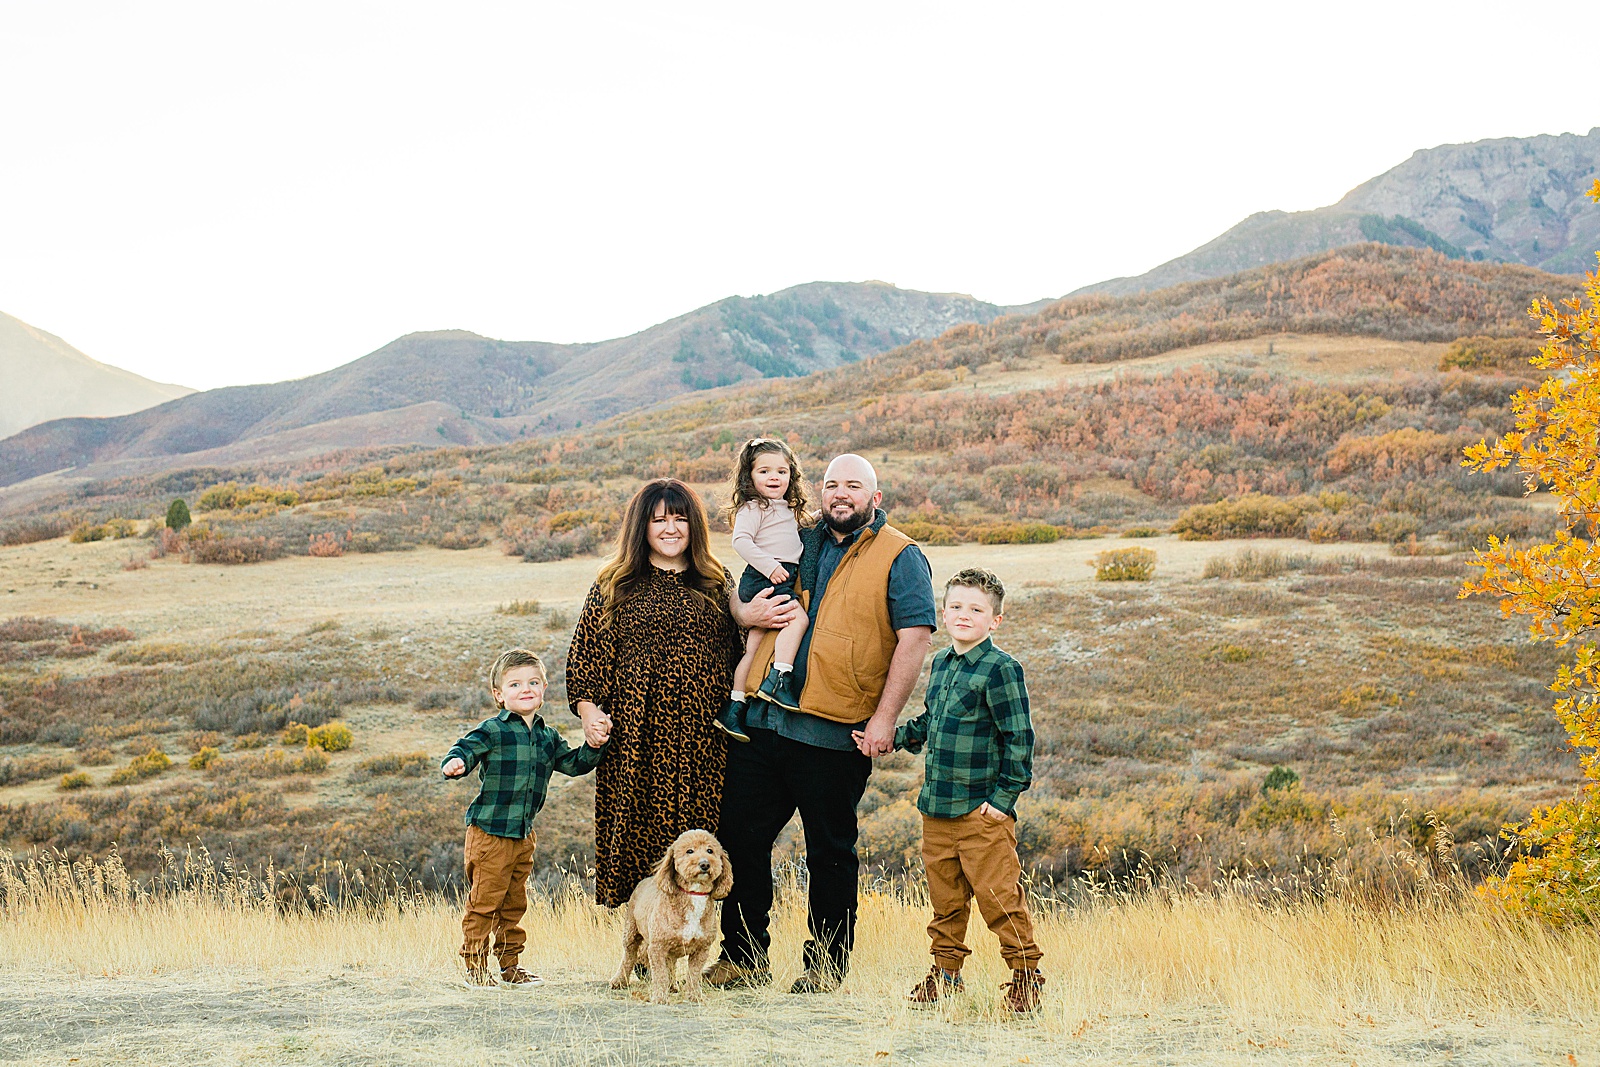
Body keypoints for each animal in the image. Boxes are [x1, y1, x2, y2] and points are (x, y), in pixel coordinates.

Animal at [608, 825, 732, 1004]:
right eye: (689, 851)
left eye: (710, 850)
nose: (704, 864)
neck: (693, 894)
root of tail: (646, 879)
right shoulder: (657, 947)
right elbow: (660, 974)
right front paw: (660, 997)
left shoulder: (701, 949)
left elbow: (693, 975)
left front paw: (694, 996)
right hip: (631, 932)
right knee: (629, 956)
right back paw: (619, 981)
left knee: (671, 963)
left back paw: (672, 985)